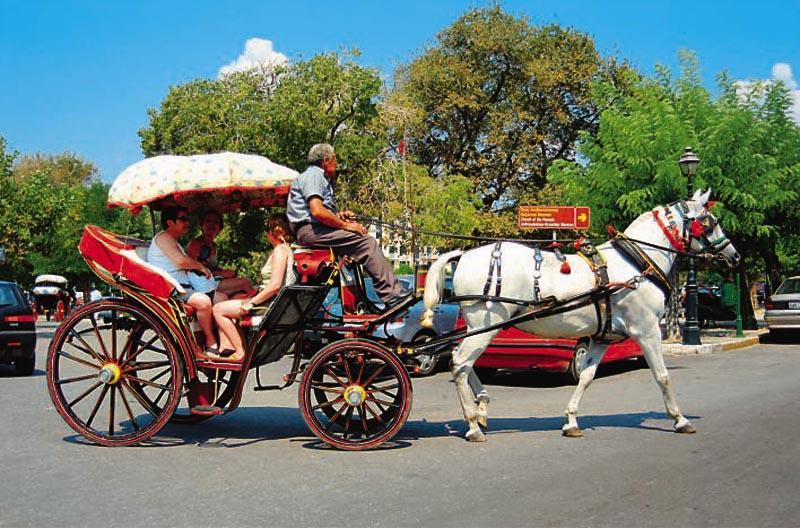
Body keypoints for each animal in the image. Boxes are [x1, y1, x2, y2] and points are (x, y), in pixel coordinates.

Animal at [422, 190, 740, 442]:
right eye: (709, 222)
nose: (734, 256)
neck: (637, 265)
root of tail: (464, 254)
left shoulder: (602, 337)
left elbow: (586, 377)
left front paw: (572, 420)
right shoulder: (648, 330)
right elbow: (662, 376)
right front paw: (680, 419)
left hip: (481, 327)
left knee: (461, 361)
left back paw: (482, 407)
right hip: (486, 324)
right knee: (460, 363)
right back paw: (473, 423)